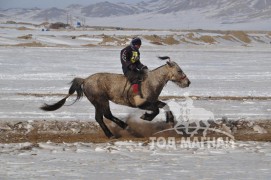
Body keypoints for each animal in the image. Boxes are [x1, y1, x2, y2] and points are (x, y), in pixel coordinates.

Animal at [41, 56, 192, 138]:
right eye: (179, 70)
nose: (188, 82)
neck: (151, 81)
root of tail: (85, 80)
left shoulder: (152, 101)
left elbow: (164, 105)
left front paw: (170, 120)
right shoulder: (142, 104)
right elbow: (156, 110)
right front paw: (146, 117)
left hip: (99, 102)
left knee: (103, 116)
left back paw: (119, 130)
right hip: (100, 100)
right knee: (103, 116)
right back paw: (119, 131)